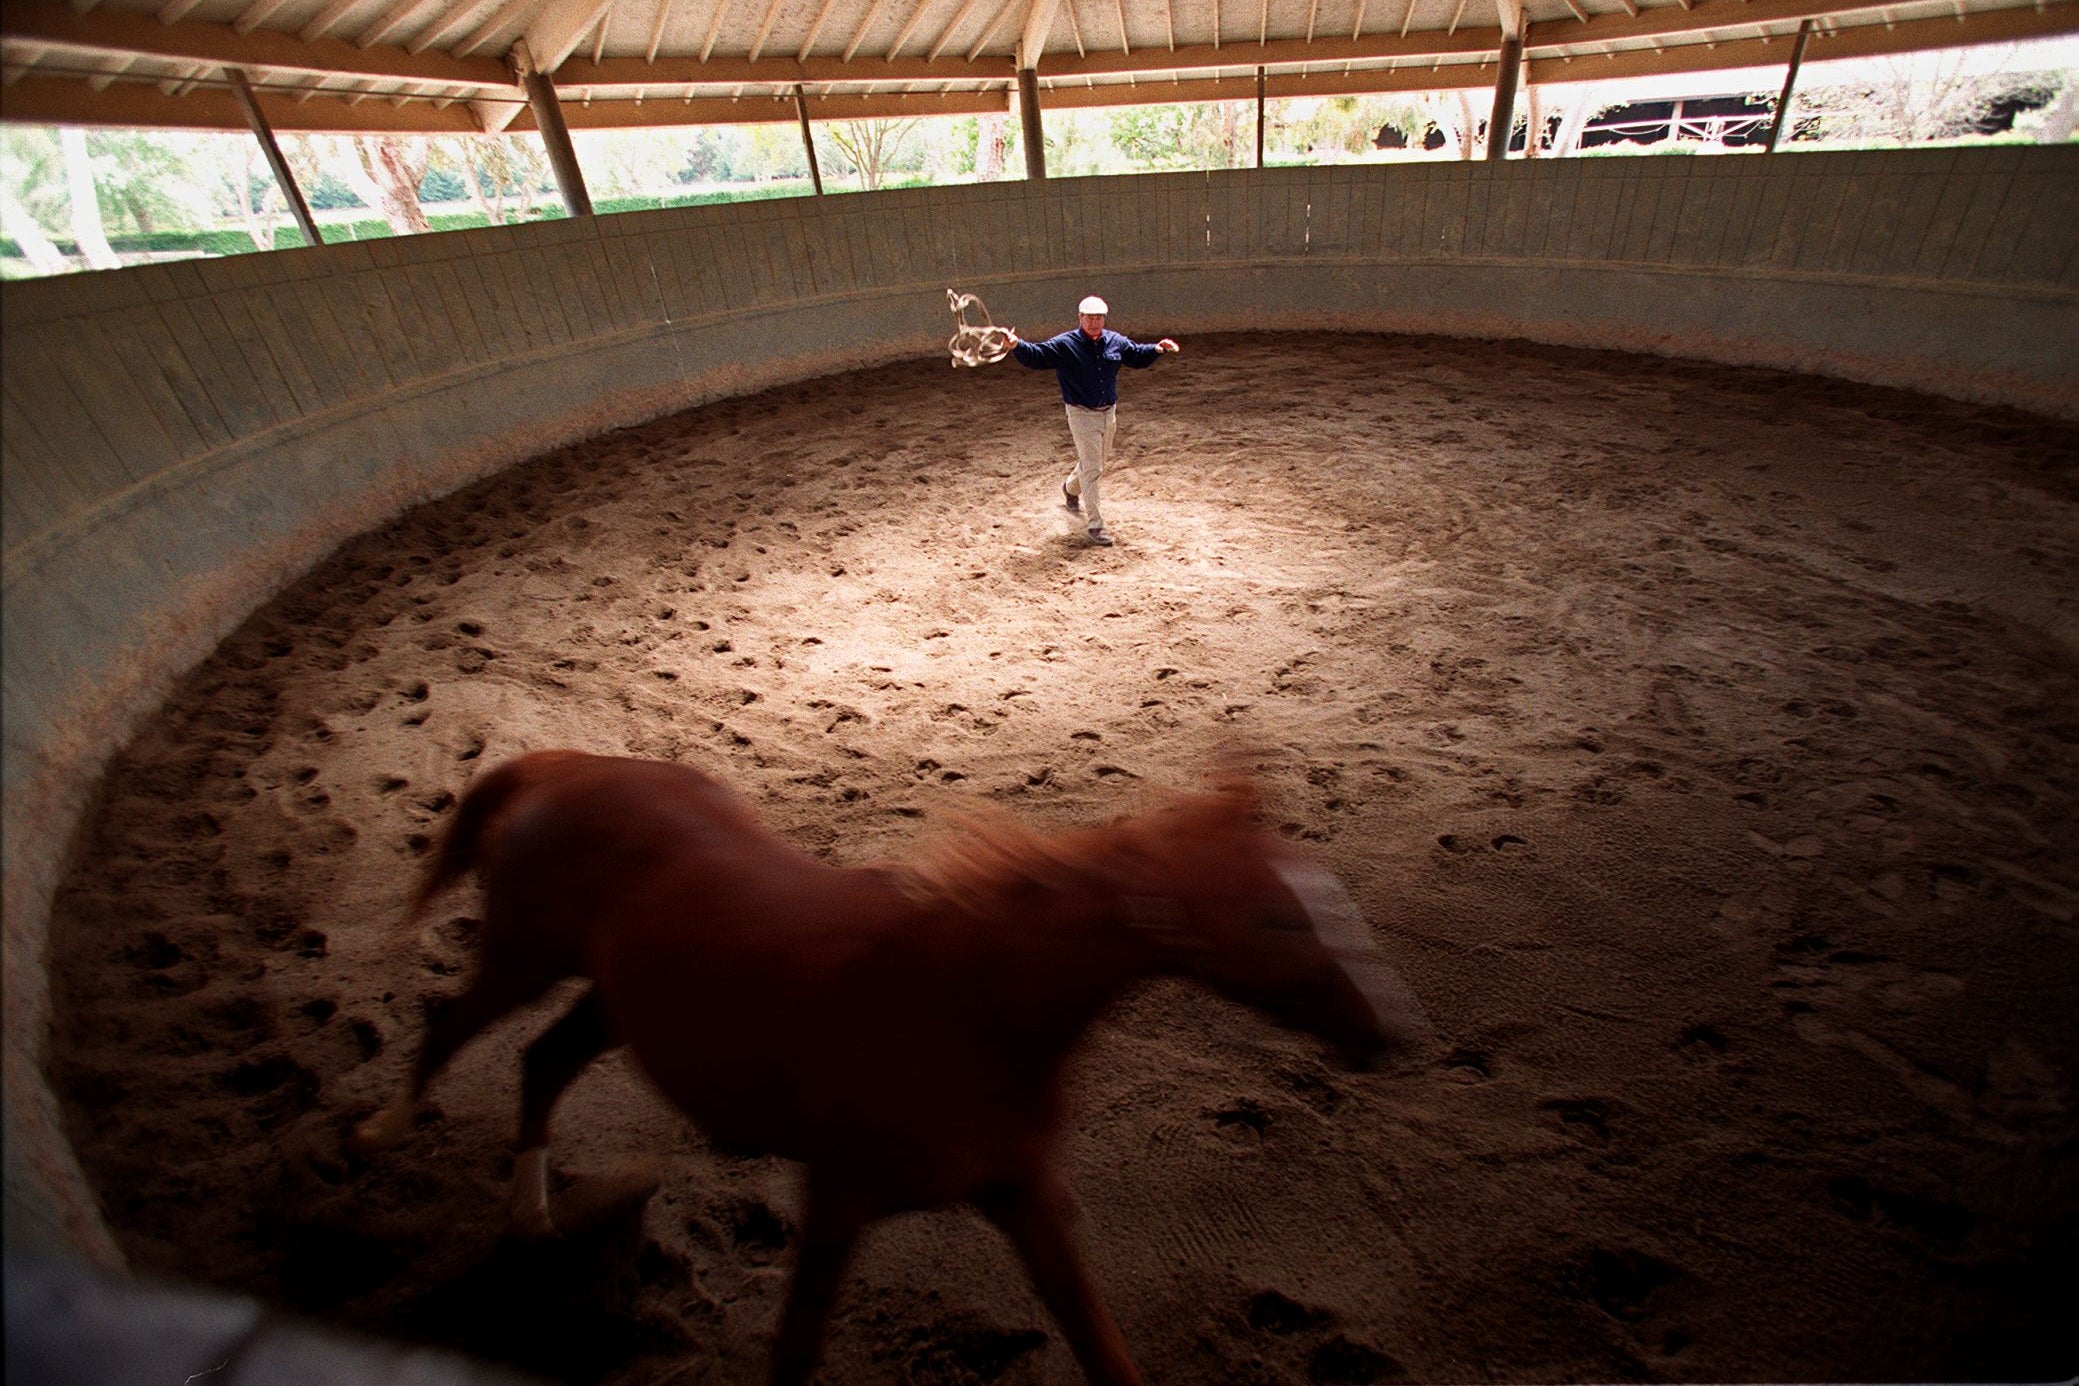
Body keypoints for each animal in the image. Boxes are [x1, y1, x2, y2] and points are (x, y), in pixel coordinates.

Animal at [349, 750, 1430, 1386]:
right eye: (1275, 916)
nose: (1397, 1031)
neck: (964, 1003)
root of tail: (565, 769)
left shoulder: (1023, 1195)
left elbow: (1100, 1346)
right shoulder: (838, 1198)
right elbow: (793, 1354)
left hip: (610, 1001)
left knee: (542, 1061)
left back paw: (533, 1218)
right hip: (522, 955)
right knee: (450, 1028)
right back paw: (382, 1133)